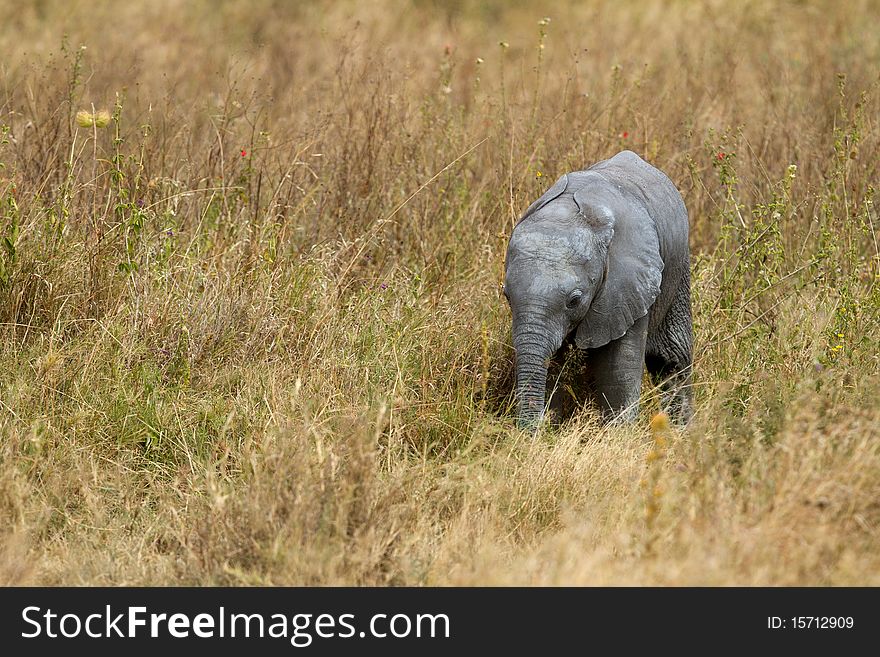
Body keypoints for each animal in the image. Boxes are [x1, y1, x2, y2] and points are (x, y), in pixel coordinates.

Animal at [506, 151, 692, 428]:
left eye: (574, 300)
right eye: (506, 296)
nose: (530, 432)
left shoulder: (627, 284)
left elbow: (617, 374)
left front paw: (619, 434)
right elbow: (552, 368)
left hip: (678, 270)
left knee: (672, 361)